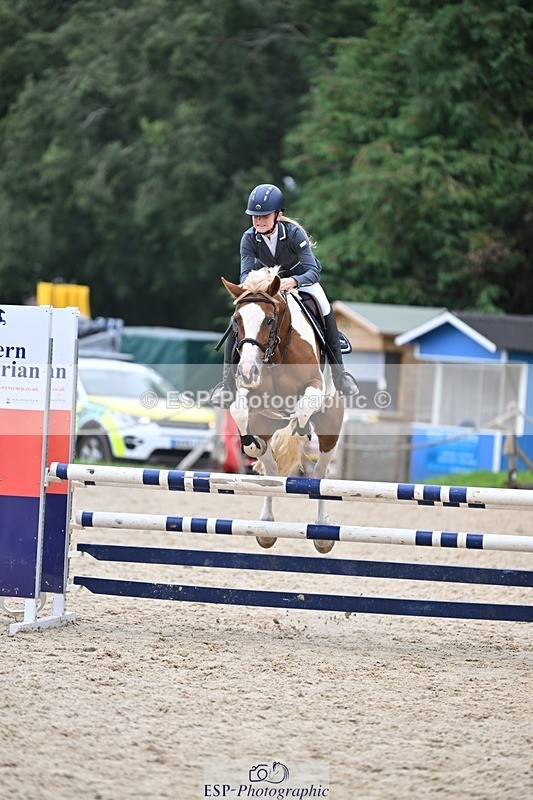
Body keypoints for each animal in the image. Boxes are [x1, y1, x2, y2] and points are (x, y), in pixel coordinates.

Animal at [222, 267, 345, 553]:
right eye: (236, 320)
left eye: (269, 320)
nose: (247, 370)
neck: (278, 352)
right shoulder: (249, 393)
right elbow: (239, 411)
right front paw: (250, 444)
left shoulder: (315, 388)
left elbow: (302, 410)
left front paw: (301, 426)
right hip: (266, 426)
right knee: (270, 471)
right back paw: (266, 526)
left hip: (330, 433)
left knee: (320, 474)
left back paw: (323, 532)